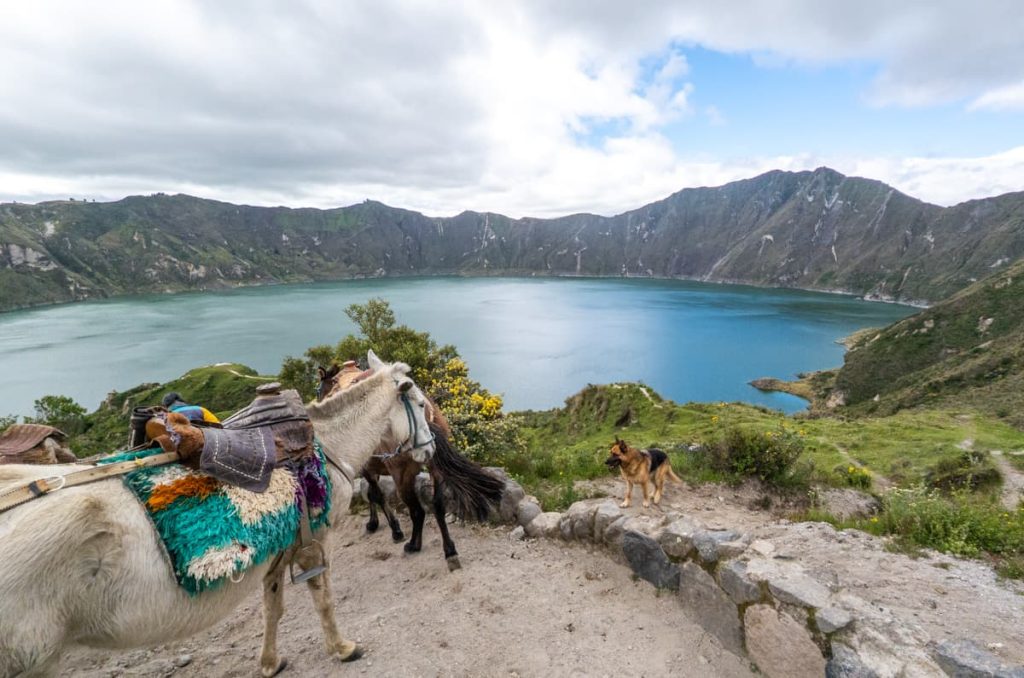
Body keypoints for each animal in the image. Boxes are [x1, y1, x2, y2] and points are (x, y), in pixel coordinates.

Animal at [0, 350, 435, 678]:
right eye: (418, 402)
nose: (429, 448)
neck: (326, 444)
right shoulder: (315, 541)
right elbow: (322, 598)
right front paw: (343, 648)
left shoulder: (278, 551)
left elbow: (273, 608)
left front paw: (270, 662)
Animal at [317, 363, 504, 571]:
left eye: (320, 390)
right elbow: (372, 494)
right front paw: (375, 523)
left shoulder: (368, 469)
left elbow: (376, 495)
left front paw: (393, 529)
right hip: (434, 470)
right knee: (437, 505)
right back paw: (450, 552)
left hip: (403, 475)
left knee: (417, 510)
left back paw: (414, 544)